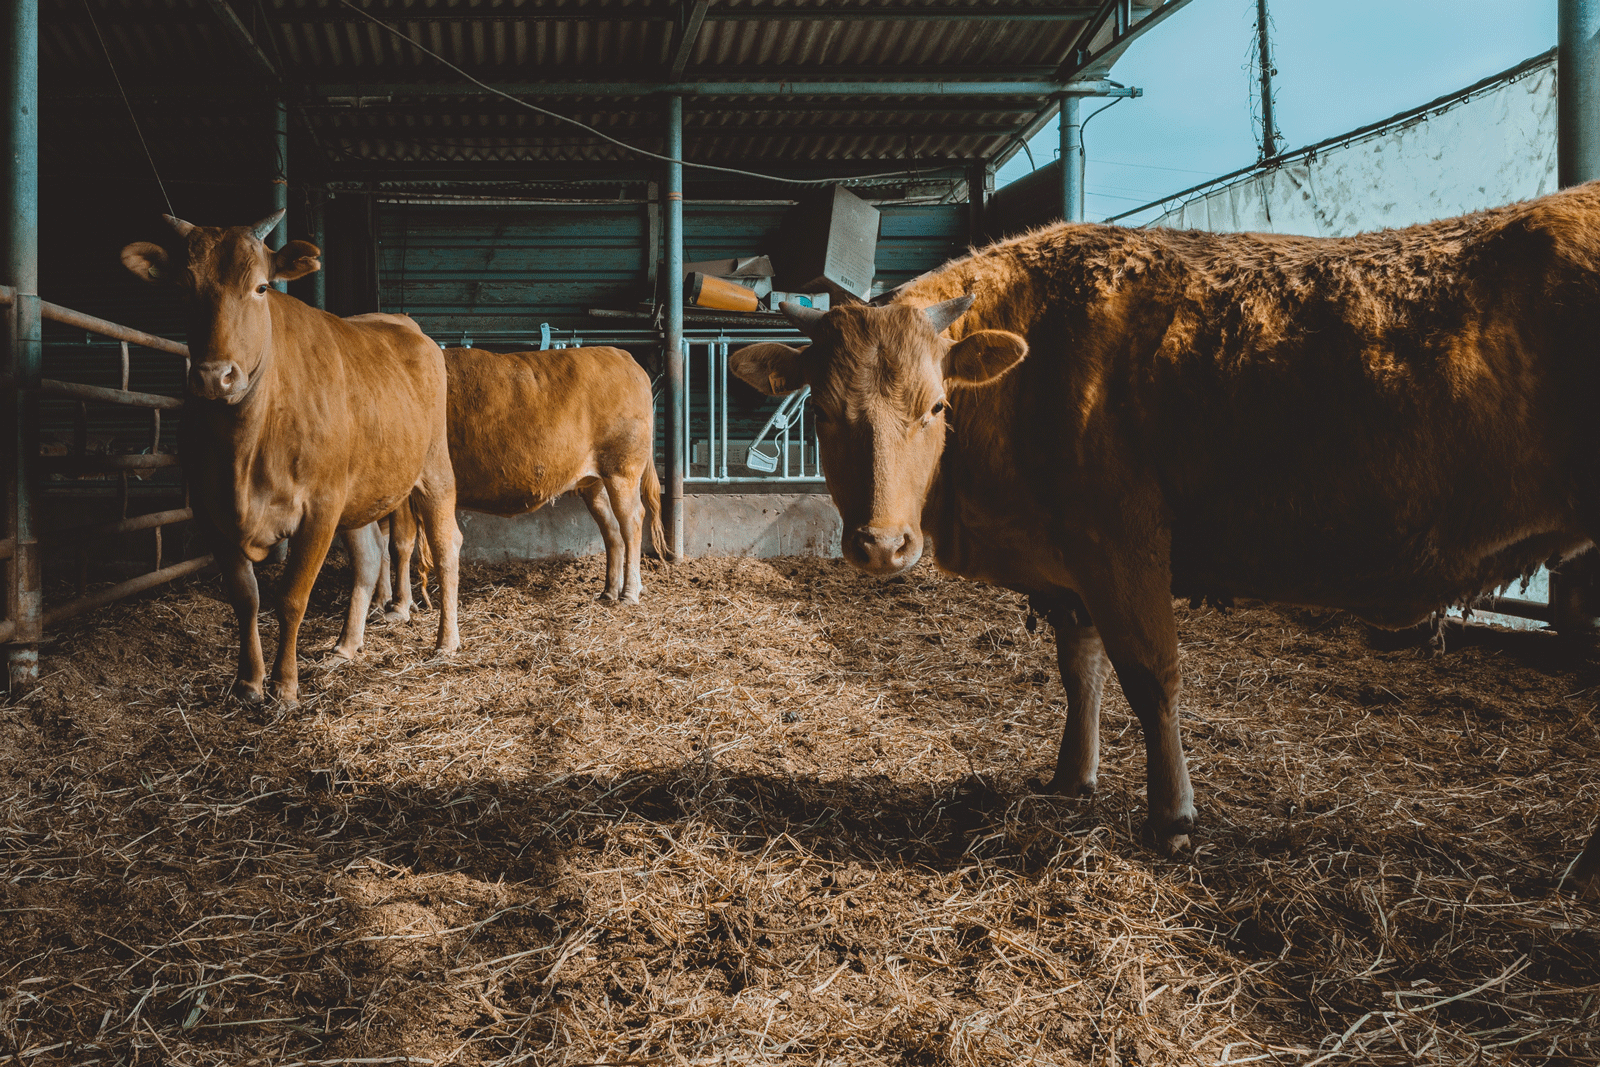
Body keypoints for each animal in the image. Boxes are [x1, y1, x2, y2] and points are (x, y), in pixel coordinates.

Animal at [122, 211, 464, 703]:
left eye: (262, 287)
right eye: (185, 288)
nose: (214, 376)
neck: (243, 450)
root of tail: (407, 327)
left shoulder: (320, 508)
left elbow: (291, 597)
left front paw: (284, 686)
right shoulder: (210, 513)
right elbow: (245, 598)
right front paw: (248, 682)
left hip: (434, 469)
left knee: (445, 544)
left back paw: (446, 641)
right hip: (356, 494)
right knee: (369, 560)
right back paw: (346, 646)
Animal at [380, 347, 662, 614]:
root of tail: (621, 355)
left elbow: (400, 543)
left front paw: (400, 606)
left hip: (622, 469)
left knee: (632, 521)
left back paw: (629, 593)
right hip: (595, 482)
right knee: (612, 529)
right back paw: (610, 591)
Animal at [732, 181, 1600, 895]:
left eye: (938, 407)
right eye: (822, 414)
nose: (883, 544)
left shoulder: (1123, 542)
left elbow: (1151, 676)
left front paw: (1172, 817)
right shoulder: (1070, 565)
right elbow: (1079, 671)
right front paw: (1071, 776)